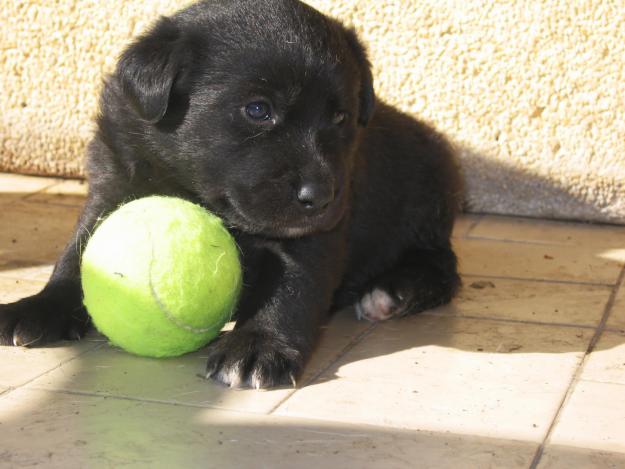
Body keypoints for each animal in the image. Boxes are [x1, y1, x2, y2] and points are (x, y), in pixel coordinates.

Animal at [0, 0, 458, 388]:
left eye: (341, 117)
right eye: (258, 110)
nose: (321, 194)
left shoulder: (315, 232)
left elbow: (293, 285)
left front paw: (258, 345)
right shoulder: (113, 186)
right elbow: (74, 256)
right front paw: (38, 307)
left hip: (423, 212)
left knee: (442, 269)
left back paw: (391, 293)